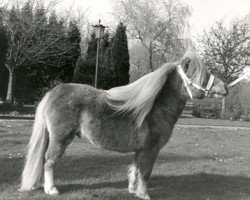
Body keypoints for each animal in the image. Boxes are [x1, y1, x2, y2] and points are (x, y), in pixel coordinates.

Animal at [20, 52, 229, 199]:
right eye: (199, 75)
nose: (225, 87)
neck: (154, 107)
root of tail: (54, 92)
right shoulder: (151, 149)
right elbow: (145, 173)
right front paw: (144, 195)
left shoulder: (140, 149)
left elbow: (135, 169)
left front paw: (133, 191)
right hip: (60, 139)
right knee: (49, 161)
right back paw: (51, 189)